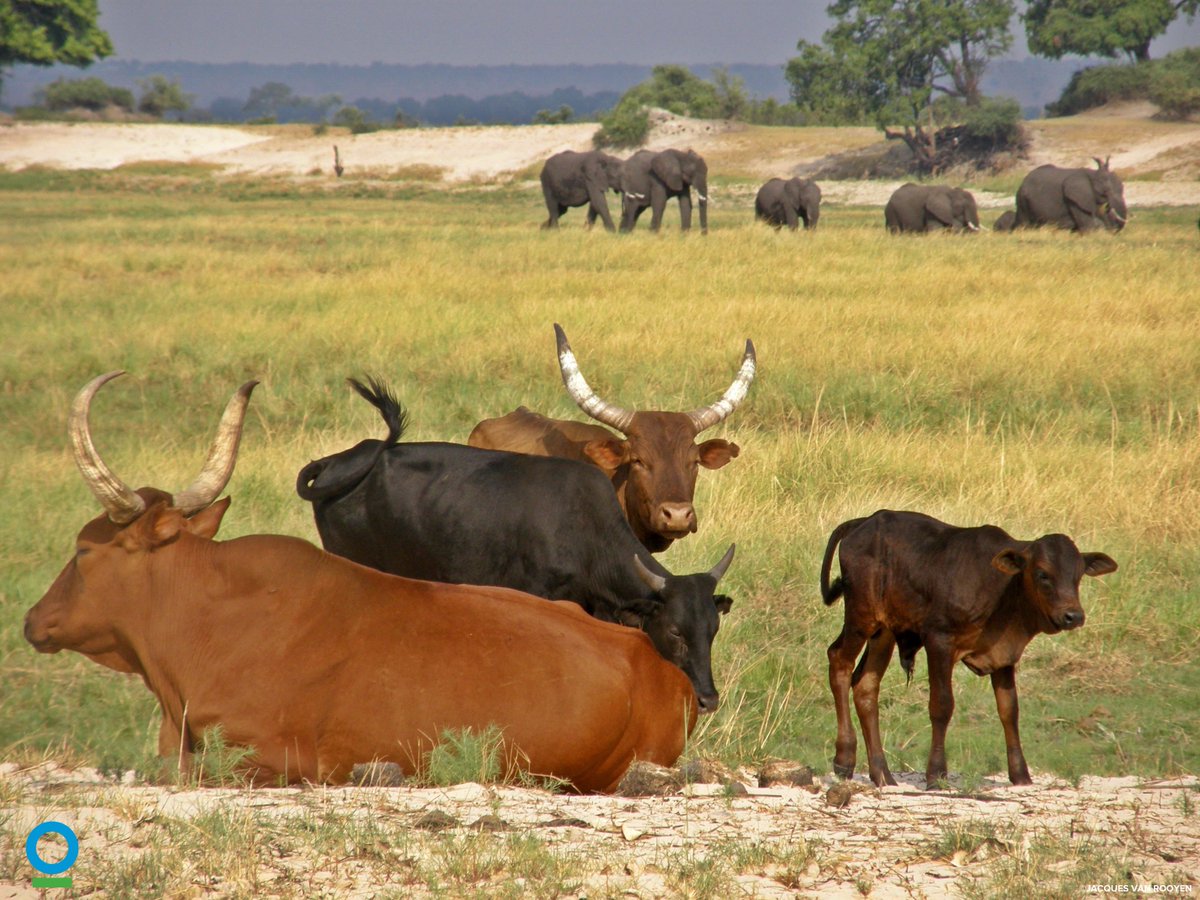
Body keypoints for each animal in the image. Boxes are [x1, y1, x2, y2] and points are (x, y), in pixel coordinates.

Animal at [819, 510, 1117, 789]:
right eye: (1043, 574)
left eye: (1078, 575)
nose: (1073, 616)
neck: (1003, 589)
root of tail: (864, 522)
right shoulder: (939, 641)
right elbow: (941, 705)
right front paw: (936, 774)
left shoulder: (1004, 655)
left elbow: (1009, 711)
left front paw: (1021, 775)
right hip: (861, 617)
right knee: (839, 661)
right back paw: (844, 759)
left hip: (884, 632)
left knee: (866, 686)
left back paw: (882, 773)